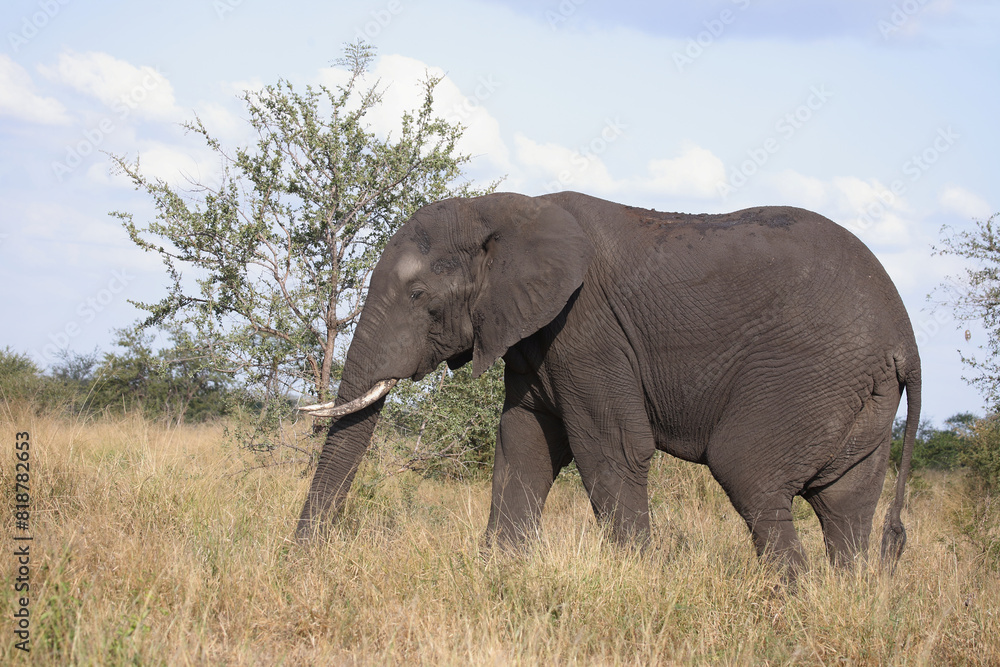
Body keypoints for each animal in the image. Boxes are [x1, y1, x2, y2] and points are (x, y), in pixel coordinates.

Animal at [292, 190, 916, 572]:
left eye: (419, 295)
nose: (298, 560)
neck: (507, 211)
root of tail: (905, 337)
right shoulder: (534, 335)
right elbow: (524, 442)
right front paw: (498, 572)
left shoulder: (588, 329)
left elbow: (612, 450)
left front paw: (640, 581)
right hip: (860, 395)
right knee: (845, 504)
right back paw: (841, 600)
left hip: (810, 371)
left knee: (750, 473)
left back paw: (786, 603)